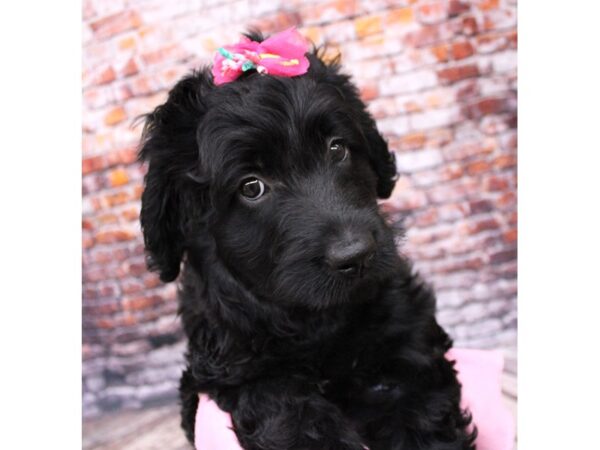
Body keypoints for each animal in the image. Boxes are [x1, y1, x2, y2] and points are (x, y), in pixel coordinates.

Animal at [138, 32, 476, 450]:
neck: (316, 319)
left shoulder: (408, 343)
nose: (356, 256)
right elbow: (286, 412)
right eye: (251, 186)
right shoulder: (233, 369)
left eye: (337, 148)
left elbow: (425, 412)